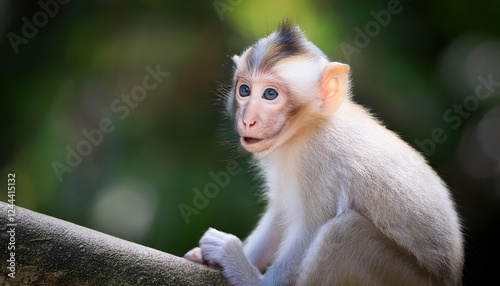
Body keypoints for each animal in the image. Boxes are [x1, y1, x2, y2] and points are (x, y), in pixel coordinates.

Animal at [185, 22, 464, 286]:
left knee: (343, 231)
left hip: (400, 275)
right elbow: (280, 215)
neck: (303, 129)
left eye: (270, 94)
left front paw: (244, 270)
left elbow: (309, 230)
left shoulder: (316, 159)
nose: (248, 120)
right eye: (244, 90)